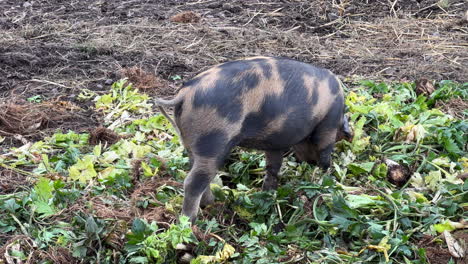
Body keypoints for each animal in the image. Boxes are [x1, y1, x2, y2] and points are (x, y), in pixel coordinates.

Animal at [154, 56, 352, 223]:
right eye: (340, 134)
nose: (310, 162)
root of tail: (184, 95)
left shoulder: (275, 143)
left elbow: (273, 168)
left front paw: (268, 193)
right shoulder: (328, 125)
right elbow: (325, 152)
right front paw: (327, 178)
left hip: (191, 144)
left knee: (196, 173)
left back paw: (212, 203)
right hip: (213, 141)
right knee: (193, 182)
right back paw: (190, 223)